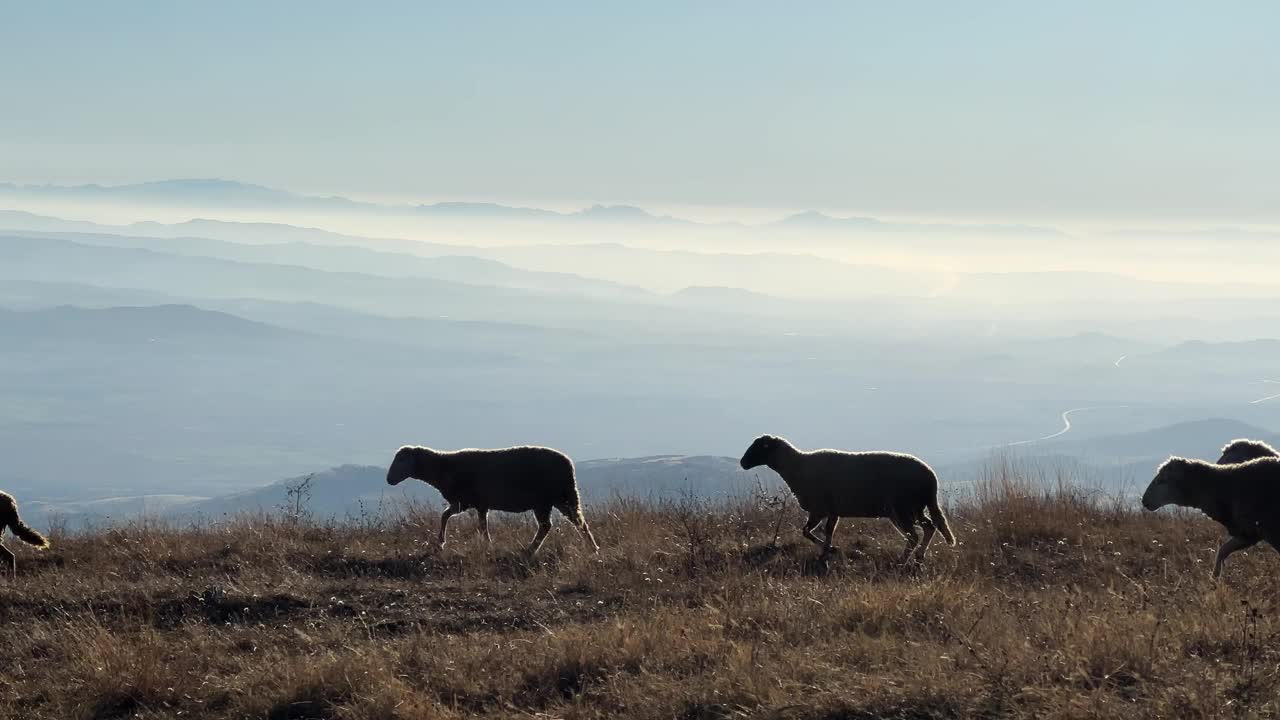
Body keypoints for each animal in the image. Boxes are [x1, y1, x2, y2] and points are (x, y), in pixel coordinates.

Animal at [384, 443, 599, 556]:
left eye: (401, 460)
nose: (388, 480)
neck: (443, 467)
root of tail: (568, 463)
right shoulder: (478, 504)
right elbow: (480, 525)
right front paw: (488, 544)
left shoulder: (463, 502)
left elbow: (445, 516)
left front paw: (440, 543)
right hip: (554, 500)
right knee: (565, 524)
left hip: (555, 498)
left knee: (561, 524)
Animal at [742, 430, 952, 561]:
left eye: (759, 447)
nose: (743, 463)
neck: (797, 466)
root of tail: (931, 478)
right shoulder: (832, 510)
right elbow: (826, 532)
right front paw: (827, 552)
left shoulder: (819, 509)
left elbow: (807, 532)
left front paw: (829, 550)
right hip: (915, 508)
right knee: (929, 527)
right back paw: (919, 557)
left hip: (902, 508)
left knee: (914, 535)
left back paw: (903, 559)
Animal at [1141, 453, 1280, 576]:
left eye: (1162, 480)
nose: (1144, 500)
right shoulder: (1247, 533)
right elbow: (1222, 550)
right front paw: (1215, 577)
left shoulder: (1265, 531)